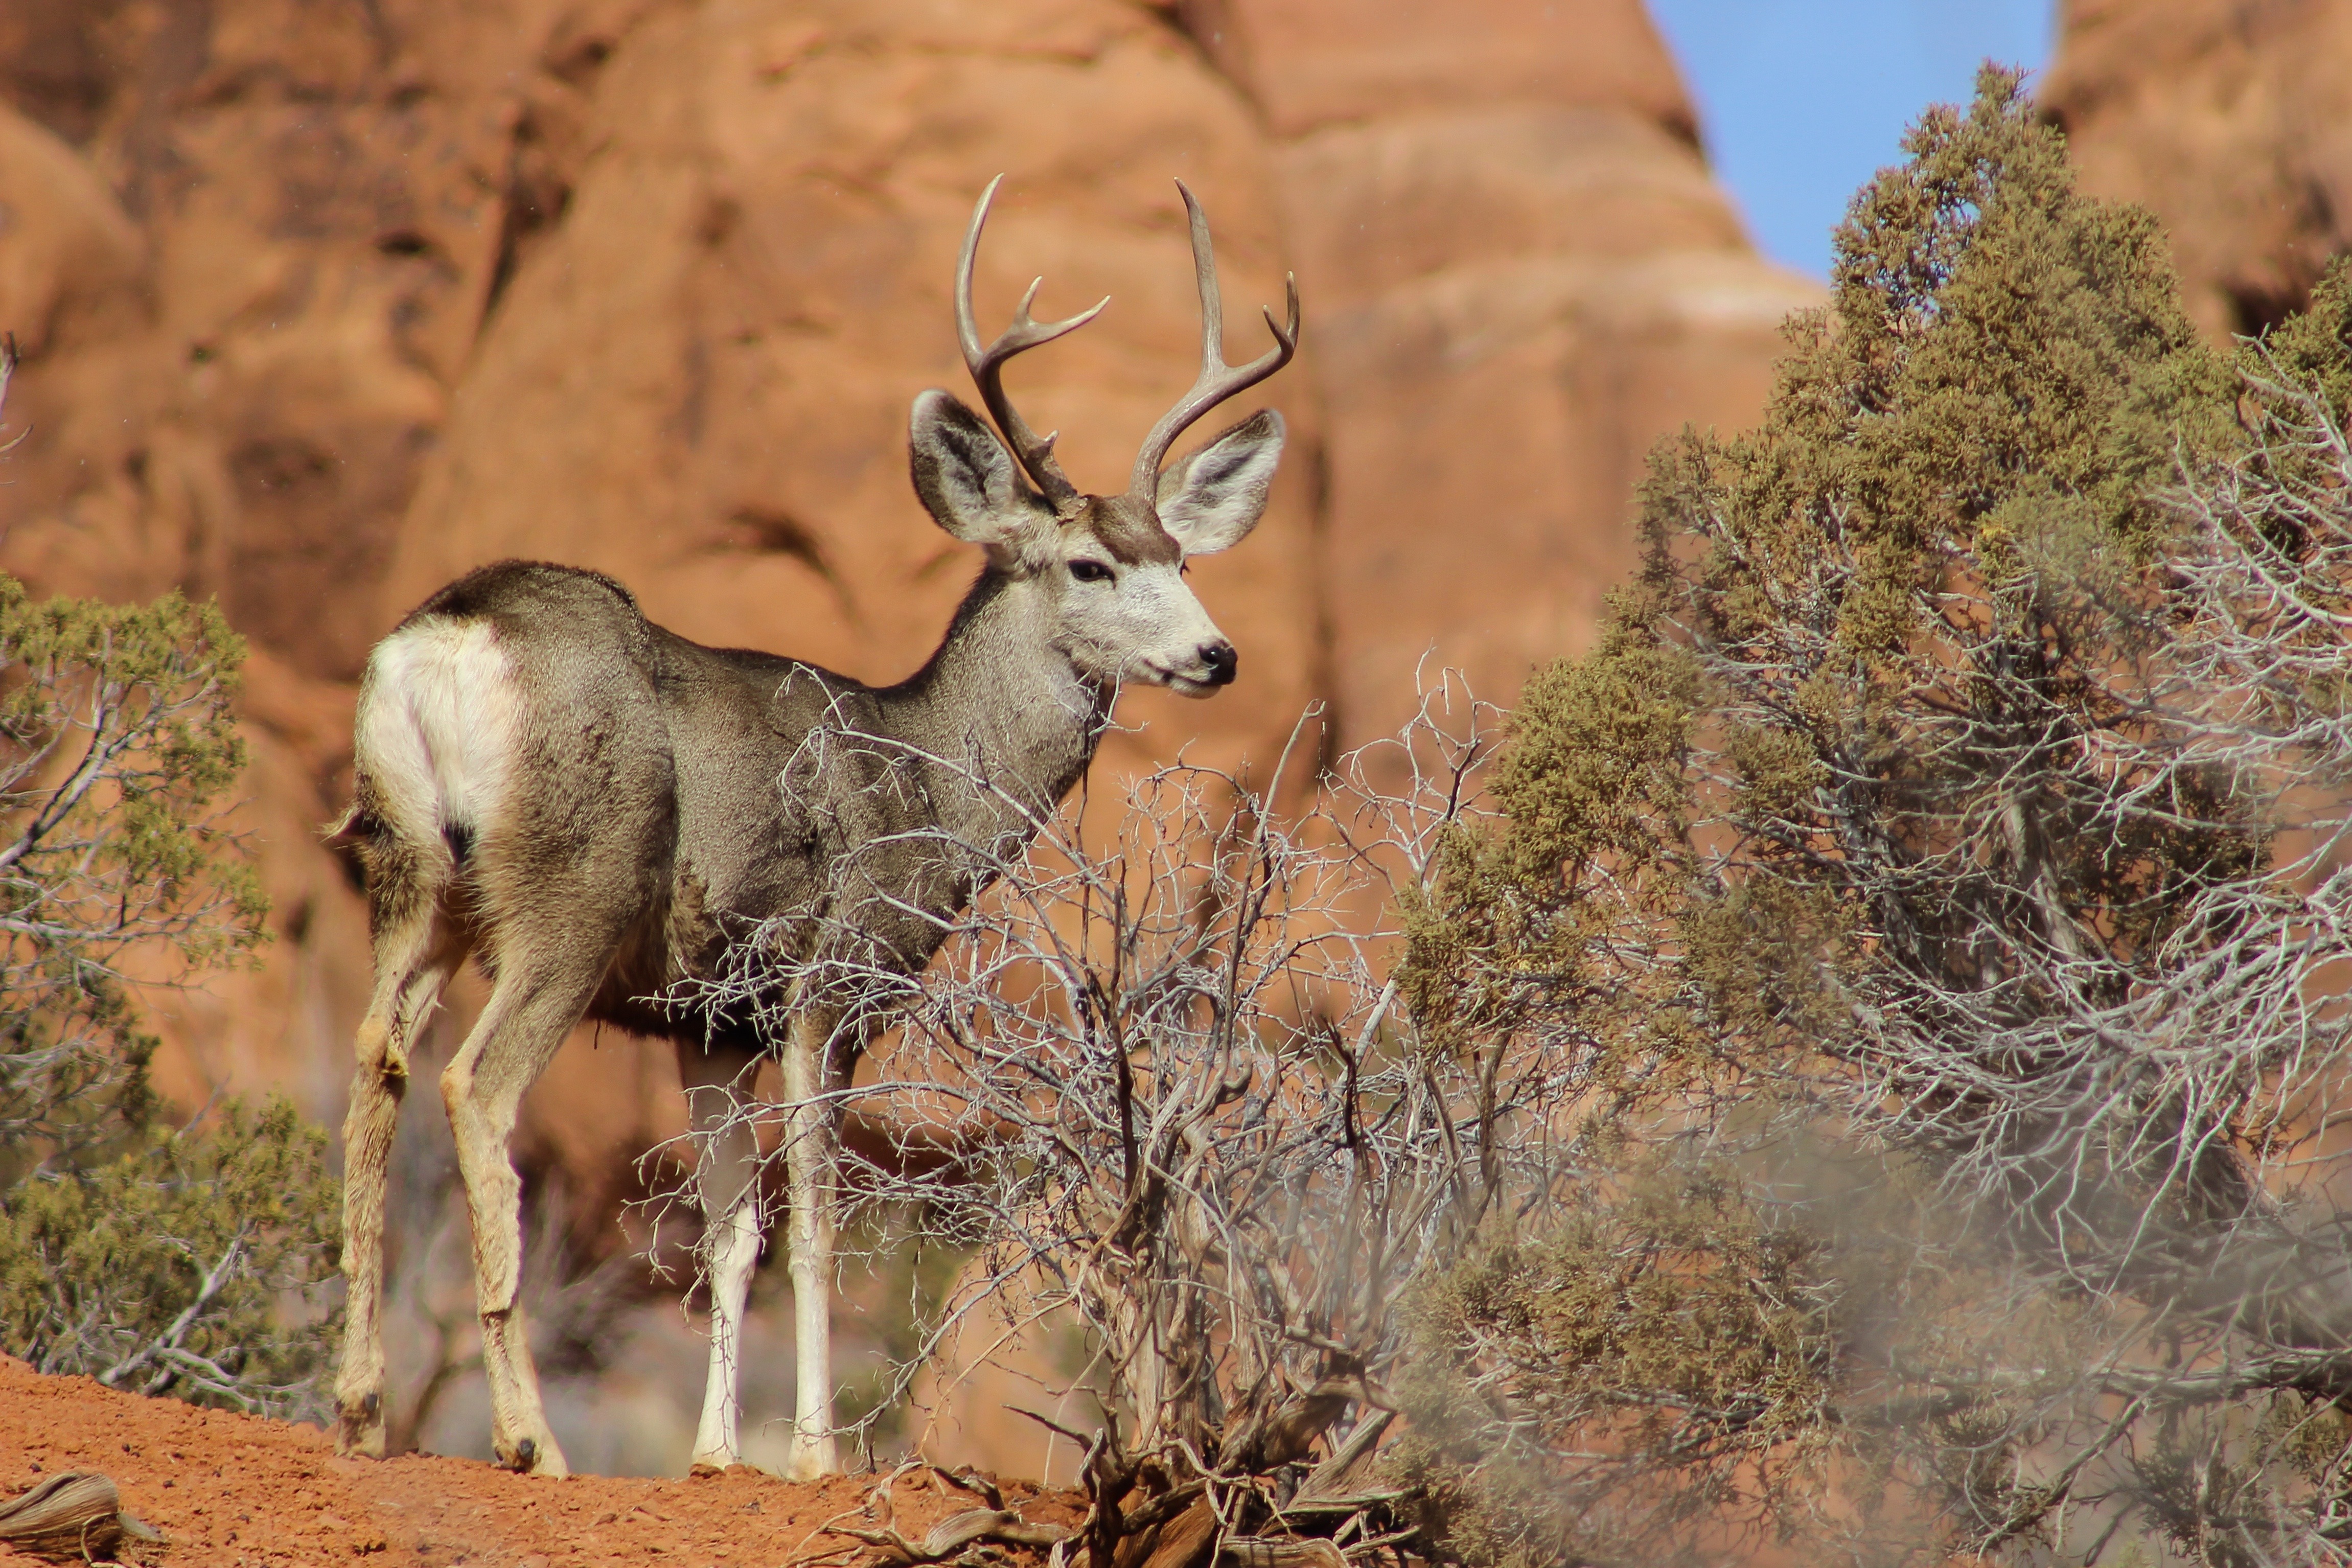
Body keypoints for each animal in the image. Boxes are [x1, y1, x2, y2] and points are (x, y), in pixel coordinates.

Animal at [327, 177, 1307, 1476]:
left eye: (1183, 556)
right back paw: (530, 1436)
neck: (930, 788)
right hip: (574, 889)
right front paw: (811, 1454)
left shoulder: (708, 1018)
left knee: (373, 1063)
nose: (1217, 653)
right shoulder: (832, 979)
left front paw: (713, 1455)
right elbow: (818, 1227)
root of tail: (448, 638)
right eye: (1092, 564)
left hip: (410, 874)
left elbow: (729, 1233)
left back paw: (358, 1405)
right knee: (476, 1089)